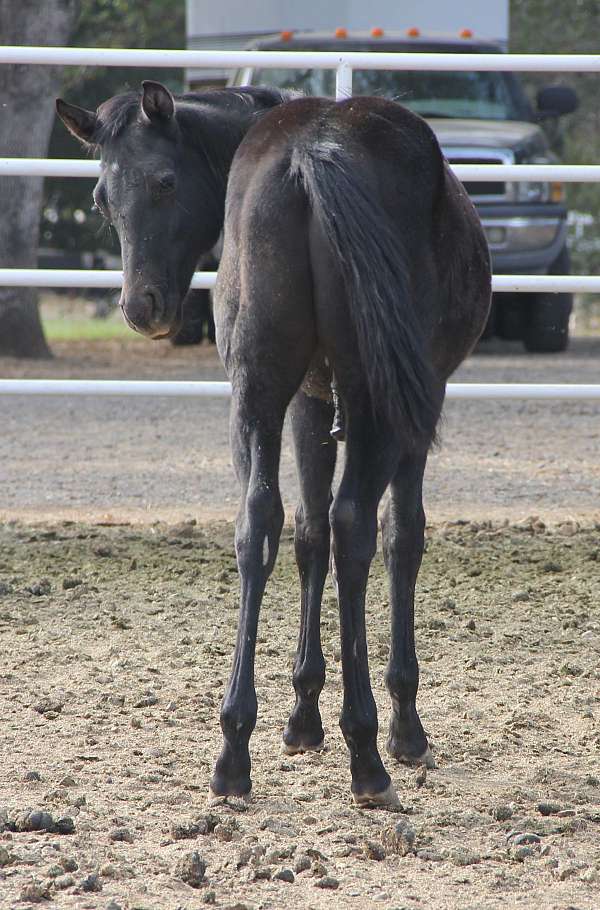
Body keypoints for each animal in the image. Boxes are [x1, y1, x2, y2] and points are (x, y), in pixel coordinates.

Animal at [57, 80, 491, 808]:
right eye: (102, 199)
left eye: (164, 181)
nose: (142, 308)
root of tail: (312, 151)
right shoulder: (417, 399)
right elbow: (400, 536)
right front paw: (402, 724)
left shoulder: (309, 401)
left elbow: (304, 534)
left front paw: (301, 714)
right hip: (377, 400)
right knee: (354, 526)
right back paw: (368, 752)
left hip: (257, 388)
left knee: (258, 523)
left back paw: (234, 748)